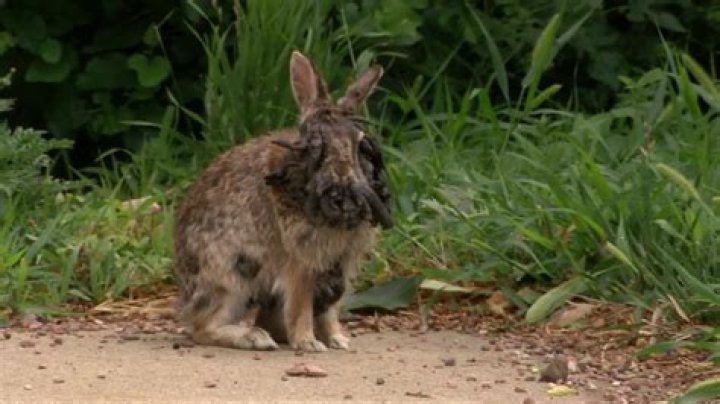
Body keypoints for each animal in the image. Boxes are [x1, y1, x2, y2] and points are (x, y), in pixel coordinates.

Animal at [173, 51, 392, 352]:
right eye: (314, 143)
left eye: (359, 142)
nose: (342, 177)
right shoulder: (300, 261)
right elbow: (301, 304)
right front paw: (308, 343)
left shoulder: (340, 264)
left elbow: (330, 311)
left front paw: (337, 340)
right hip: (232, 278)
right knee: (202, 327)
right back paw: (254, 337)